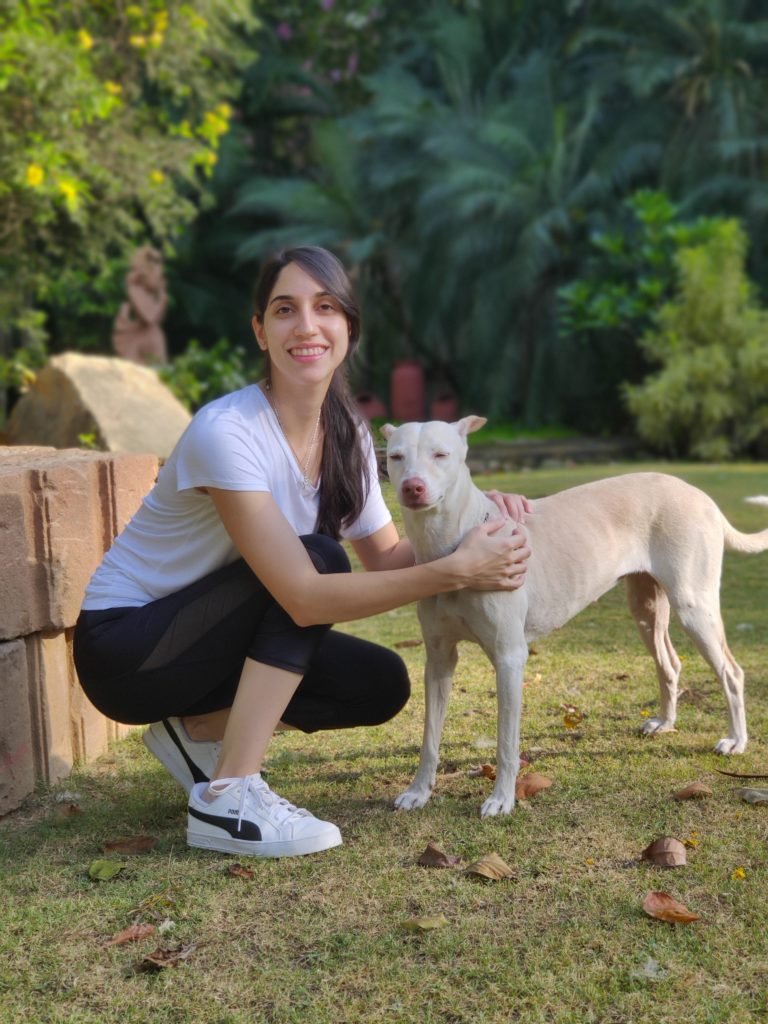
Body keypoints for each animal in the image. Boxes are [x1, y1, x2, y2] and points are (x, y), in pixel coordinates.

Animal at [382, 415, 768, 815]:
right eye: (395, 457)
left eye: (441, 455)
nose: (412, 487)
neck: (459, 546)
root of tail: (701, 496)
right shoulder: (438, 661)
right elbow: (429, 738)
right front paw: (418, 791)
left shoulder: (509, 658)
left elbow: (506, 744)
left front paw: (502, 799)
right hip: (646, 608)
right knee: (670, 664)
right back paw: (665, 722)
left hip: (693, 607)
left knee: (732, 673)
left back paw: (736, 740)